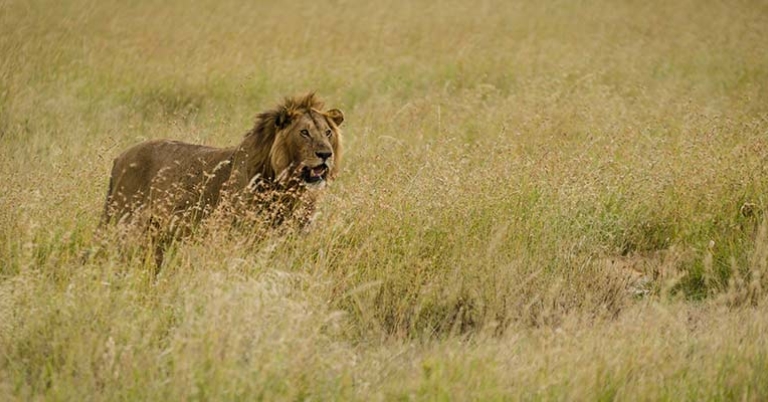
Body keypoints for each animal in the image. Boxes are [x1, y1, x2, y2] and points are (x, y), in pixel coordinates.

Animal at [102, 93, 344, 267]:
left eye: (328, 132)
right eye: (304, 132)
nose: (326, 154)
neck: (286, 185)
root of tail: (120, 157)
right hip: (123, 223)